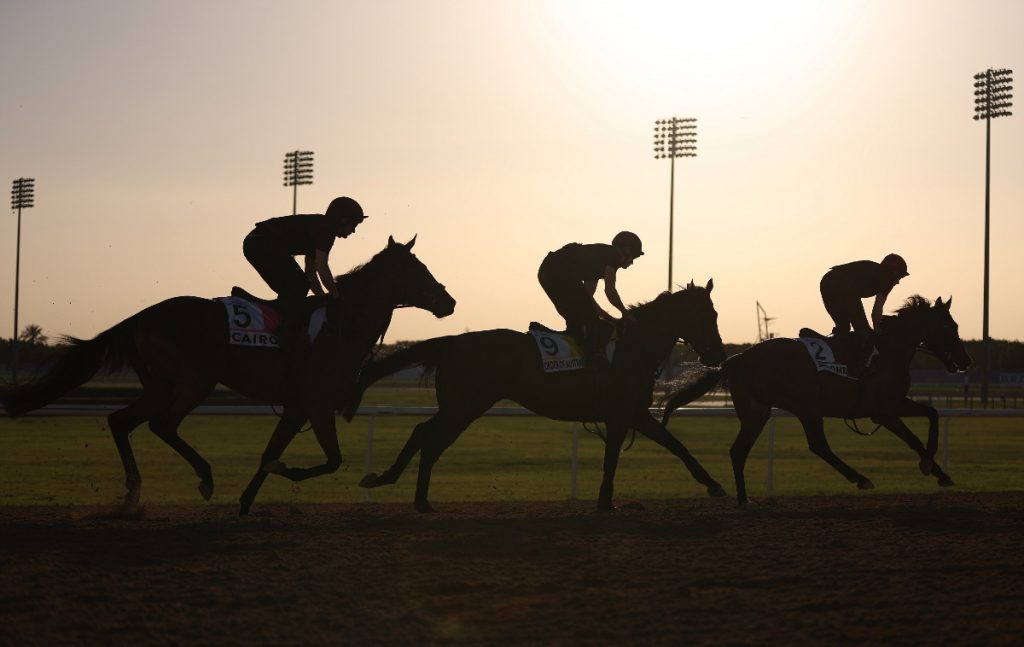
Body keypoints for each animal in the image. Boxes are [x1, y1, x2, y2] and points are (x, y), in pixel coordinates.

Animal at [0, 235, 456, 513]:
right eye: (418, 269)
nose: (448, 301)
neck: (342, 325)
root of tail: (141, 316)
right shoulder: (317, 404)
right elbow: (329, 460)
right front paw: (285, 474)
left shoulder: (296, 407)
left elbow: (270, 453)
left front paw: (247, 501)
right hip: (195, 380)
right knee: (162, 425)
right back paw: (203, 477)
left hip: (160, 384)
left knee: (120, 421)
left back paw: (132, 493)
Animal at [344, 280, 729, 513]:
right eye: (706, 314)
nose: (718, 355)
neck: (633, 348)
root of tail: (454, 341)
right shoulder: (623, 414)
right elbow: (619, 457)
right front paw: (607, 502)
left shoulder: (633, 413)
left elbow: (675, 446)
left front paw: (712, 484)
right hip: (465, 405)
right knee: (428, 435)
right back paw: (395, 485)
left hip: (463, 406)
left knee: (428, 437)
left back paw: (415, 496)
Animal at [659, 294, 970, 507]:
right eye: (948, 326)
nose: (965, 360)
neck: (889, 351)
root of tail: (738, 358)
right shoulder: (883, 410)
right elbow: (917, 434)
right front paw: (930, 465)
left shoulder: (894, 404)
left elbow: (930, 417)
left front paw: (939, 471)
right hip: (806, 406)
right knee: (818, 445)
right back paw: (861, 478)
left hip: (758, 412)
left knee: (739, 451)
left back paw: (744, 499)